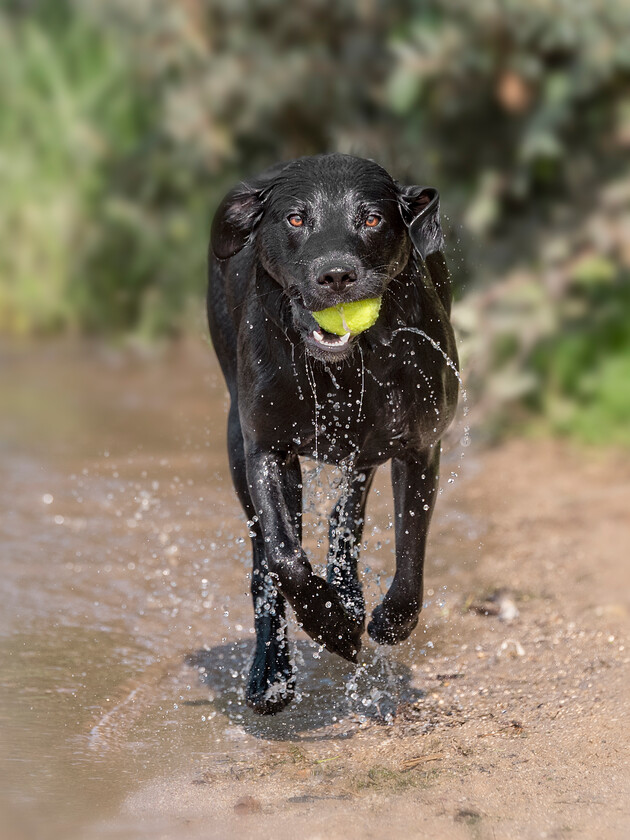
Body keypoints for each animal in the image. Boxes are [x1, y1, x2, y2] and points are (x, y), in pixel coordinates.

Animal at [207, 154, 460, 712]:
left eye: (372, 219)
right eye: (296, 218)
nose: (337, 275)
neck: (341, 370)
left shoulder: (419, 446)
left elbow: (411, 548)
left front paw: (389, 620)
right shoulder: (266, 449)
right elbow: (284, 558)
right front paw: (334, 628)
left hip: (363, 450)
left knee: (347, 518)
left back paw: (350, 593)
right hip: (239, 446)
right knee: (267, 560)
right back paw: (271, 672)